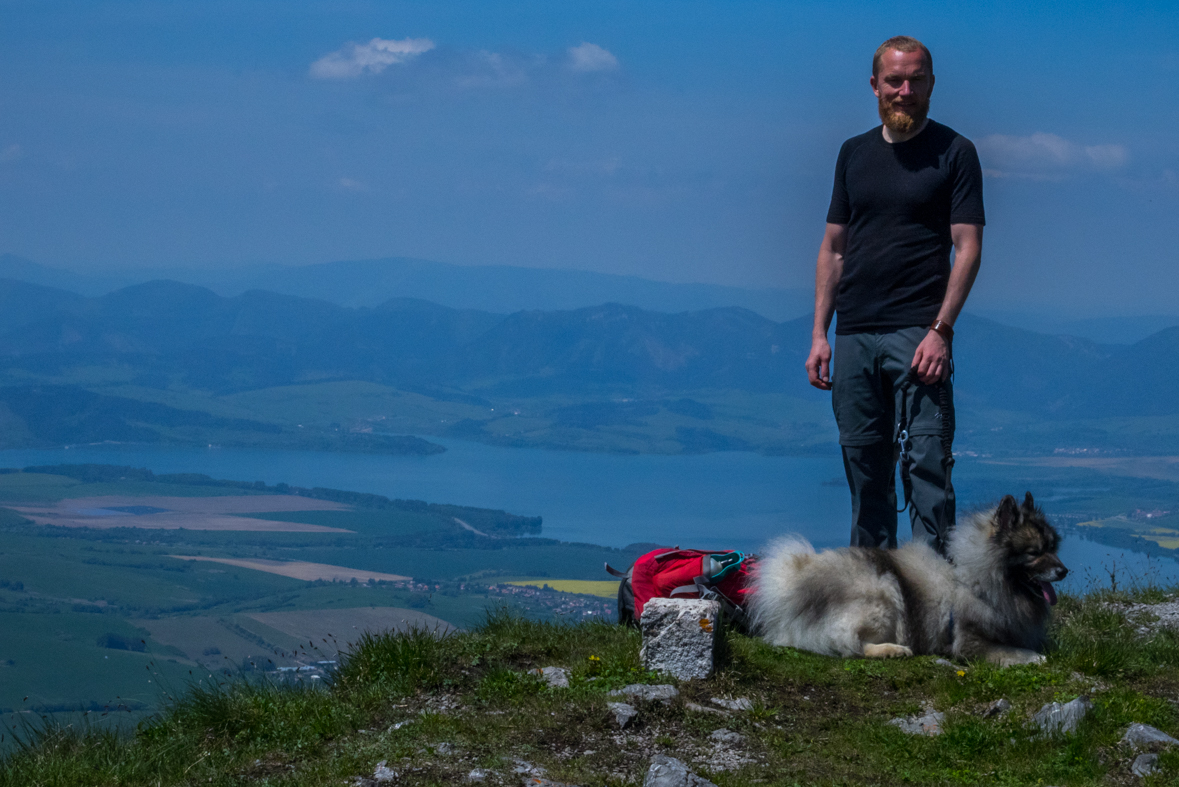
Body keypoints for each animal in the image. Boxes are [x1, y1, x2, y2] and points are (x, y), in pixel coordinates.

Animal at [749, 492, 1075, 664]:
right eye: (1034, 553)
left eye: (1052, 547)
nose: (1064, 571)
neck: (978, 581)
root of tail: (794, 588)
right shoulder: (970, 642)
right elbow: (1016, 650)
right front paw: (1035, 657)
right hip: (882, 593)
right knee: (849, 644)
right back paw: (893, 650)